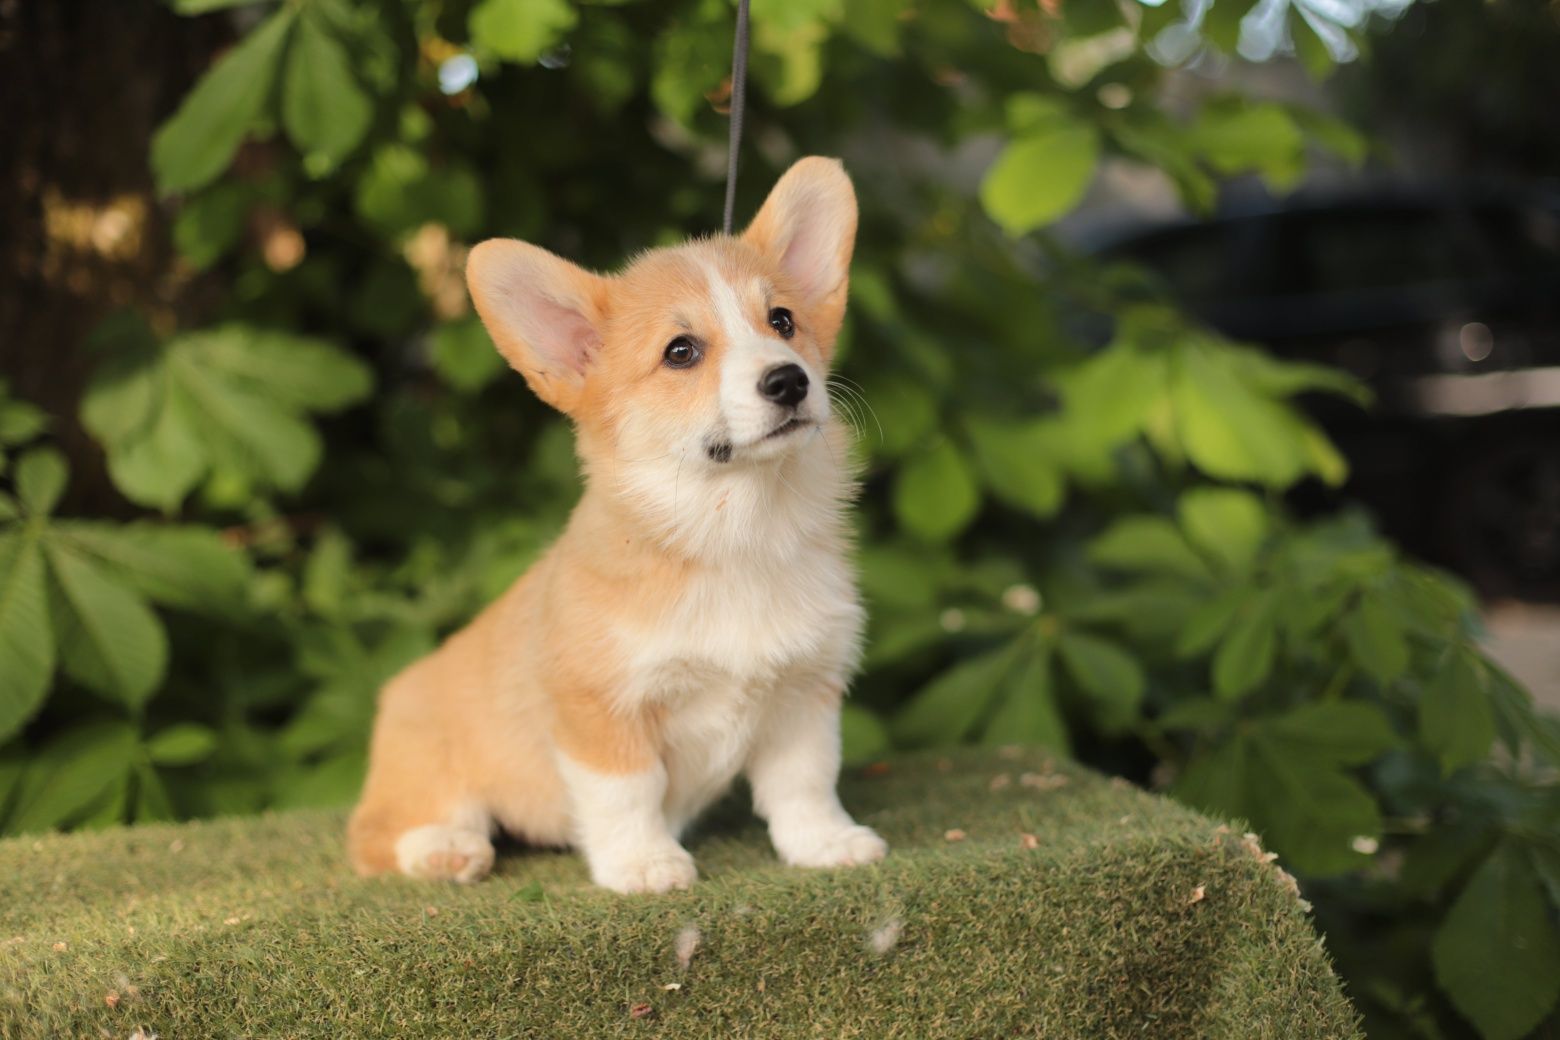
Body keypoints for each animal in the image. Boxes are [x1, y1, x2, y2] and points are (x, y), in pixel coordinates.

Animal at [351, 156, 892, 898]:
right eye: (681, 351)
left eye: (782, 320)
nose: (789, 381)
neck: (734, 532)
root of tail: (391, 695)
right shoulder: (600, 708)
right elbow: (628, 791)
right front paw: (643, 864)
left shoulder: (802, 693)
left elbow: (804, 783)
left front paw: (825, 843)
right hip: (430, 777)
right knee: (374, 837)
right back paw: (444, 850)